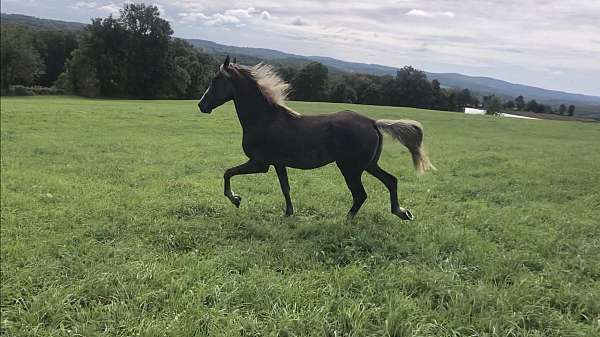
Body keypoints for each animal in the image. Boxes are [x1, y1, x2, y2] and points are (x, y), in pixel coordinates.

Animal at [198, 56, 436, 219]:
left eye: (216, 79)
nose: (201, 105)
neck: (264, 118)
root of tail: (372, 122)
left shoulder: (260, 163)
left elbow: (228, 172)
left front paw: (235, 199)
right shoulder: (278, 163)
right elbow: (285, 188)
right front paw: (288, 213)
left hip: (350, 168)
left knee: (361, 194)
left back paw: (347, 220)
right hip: (368, 165)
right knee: (391, 181)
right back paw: (402, 212)